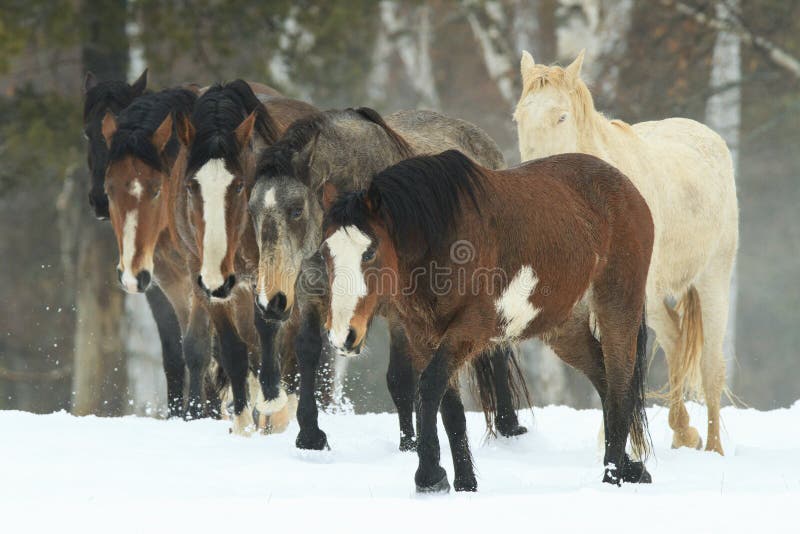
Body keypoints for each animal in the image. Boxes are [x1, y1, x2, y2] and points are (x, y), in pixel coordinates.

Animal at [176, 79, 318, 432]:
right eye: (190, 186)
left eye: (240, 185)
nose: (218, 279)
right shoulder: (202, 277)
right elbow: (234, 349)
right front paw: (241, 421)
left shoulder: (268, 272)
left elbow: (268, 328)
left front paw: (271, 399)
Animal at [322, 151, 652, 494]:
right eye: (325, 253)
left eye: (370, 251)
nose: (343, 335)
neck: (443, 237)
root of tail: (627, 188)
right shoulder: (423, 337)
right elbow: (450, 408)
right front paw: (464, 483)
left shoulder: (469, 330)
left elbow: (428, 387)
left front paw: (429, 476)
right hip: (565, 330)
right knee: (605, 381)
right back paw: (632, 468)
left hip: (618, 309)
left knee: (620, 388)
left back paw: (612, 477)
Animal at [516, 50, 740, 456]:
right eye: (519, 117)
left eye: (561, 116)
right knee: (675, 339)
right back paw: (683, 434)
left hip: (712, 278)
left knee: (711, 368)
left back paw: (711, 448)